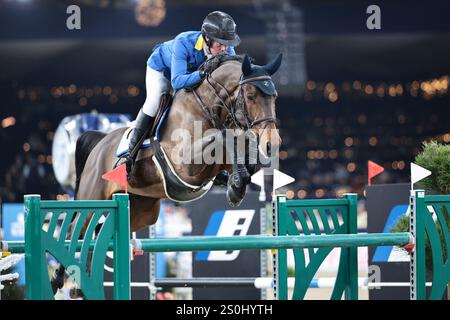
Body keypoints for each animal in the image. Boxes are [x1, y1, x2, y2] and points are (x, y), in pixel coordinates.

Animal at [51, 53, 282, 296]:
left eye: (274, 97)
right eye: (250, 96)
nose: (272, 144)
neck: (207, 108)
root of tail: (100, 141)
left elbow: (240, 150)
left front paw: (235, 183)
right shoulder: (186, 164)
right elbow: (223, 138)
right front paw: (235, 186)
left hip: (141, 211)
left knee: (97, 232)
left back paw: (81, 285)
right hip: (93, 197)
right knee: (74, 231)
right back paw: (58, 280)